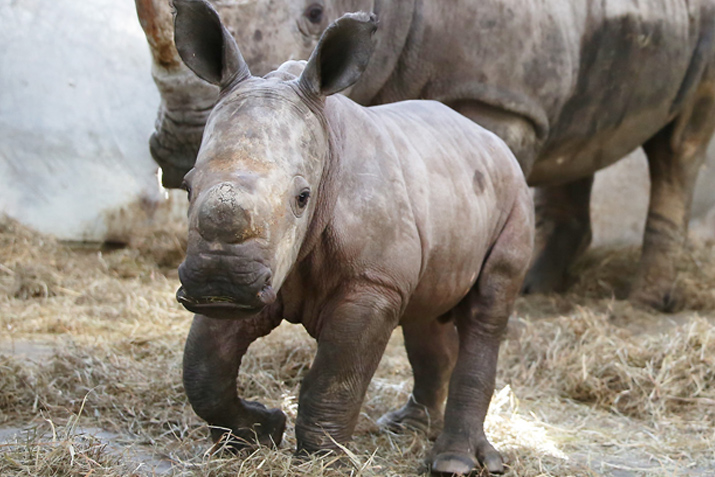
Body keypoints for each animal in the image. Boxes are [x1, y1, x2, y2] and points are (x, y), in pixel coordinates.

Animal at [137, 0, 715, 310]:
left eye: (317, 13)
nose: (185, 146)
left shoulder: (495, 98)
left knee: (679, 144)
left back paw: (644, 302)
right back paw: (537, 287)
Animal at [171, 0, 536, 472]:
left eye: (303, 197)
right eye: (187, 186)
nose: (219, 280)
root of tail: (493, 141)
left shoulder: (372, 281)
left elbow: (336, 378)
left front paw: (320, 461)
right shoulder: (258, 272)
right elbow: (203, 366)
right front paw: (258, 432)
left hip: (515, 195)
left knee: (486, 313)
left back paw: (455, 462)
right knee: (425, 315)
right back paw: (407, 427)